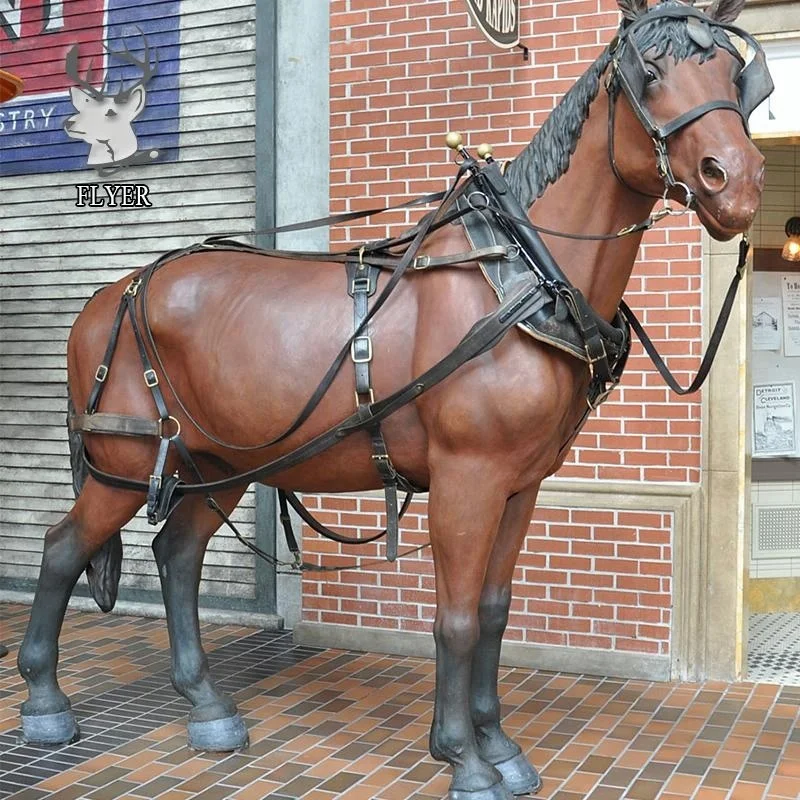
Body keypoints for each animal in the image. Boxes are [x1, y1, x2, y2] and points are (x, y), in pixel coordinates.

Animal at [16, 1, 770, 798]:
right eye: (647, 72)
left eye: (733, 75)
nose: (737, 181)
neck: (516, 277)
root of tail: (114, 292)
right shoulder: (468, 478)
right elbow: (457, 618)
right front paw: (464, 757)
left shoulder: (520, 484)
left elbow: (493, 612)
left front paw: (498, 744)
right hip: (127, 463)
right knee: (63, 550)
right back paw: (45, 702)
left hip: (217, 465)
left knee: (178, 555)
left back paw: (208, 705)